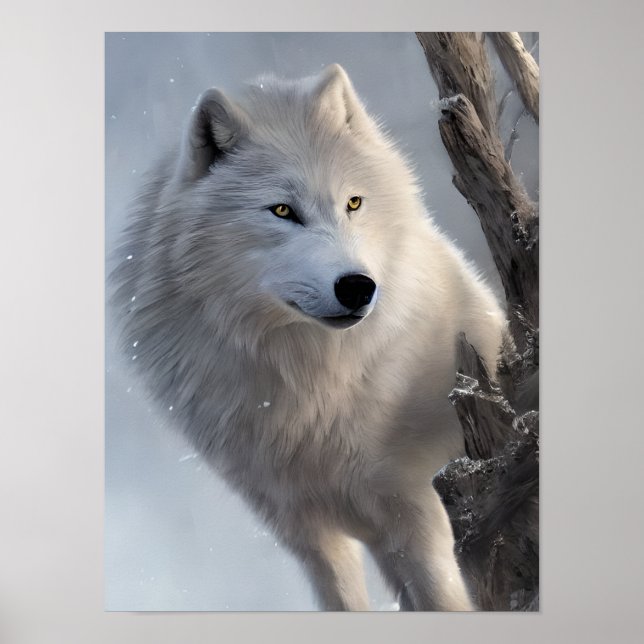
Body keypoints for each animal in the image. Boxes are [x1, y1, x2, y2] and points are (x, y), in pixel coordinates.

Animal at [110, 63, 507, 611]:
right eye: (282, 211)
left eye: (354, 202)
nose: (358, 287)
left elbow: (446, 601)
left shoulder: (416, 510)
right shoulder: (303, 529)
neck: (313, 382)